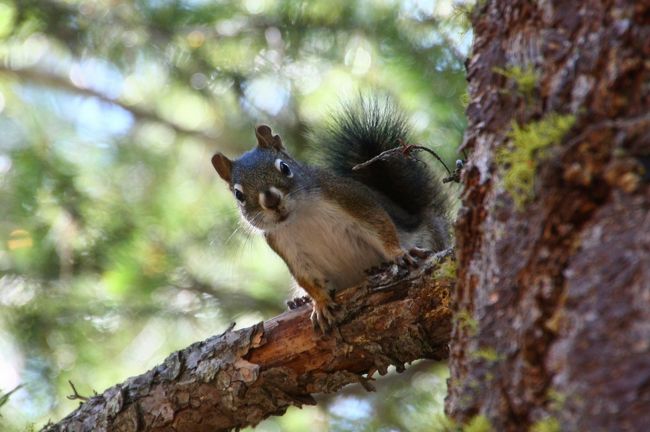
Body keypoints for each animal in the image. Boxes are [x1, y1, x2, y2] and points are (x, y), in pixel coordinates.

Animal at [210, 98, 448, 334]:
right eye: (239, 195)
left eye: (284, 167)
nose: (271, 201)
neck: (301, 216)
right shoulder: (286, 247)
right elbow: (307, 279)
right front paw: (320, 303)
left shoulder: (348, 198)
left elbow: (379, 226)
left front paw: (398, 254)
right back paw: (300, 300)